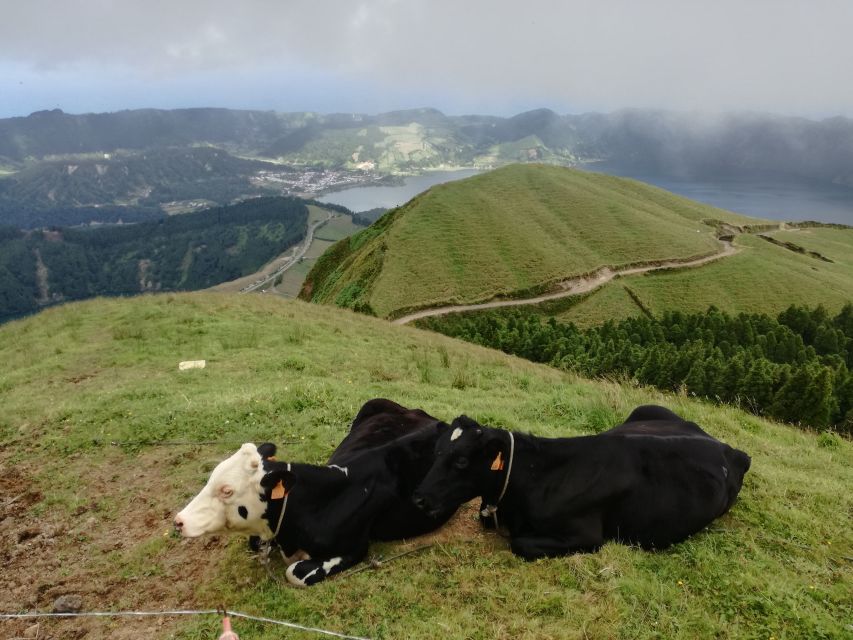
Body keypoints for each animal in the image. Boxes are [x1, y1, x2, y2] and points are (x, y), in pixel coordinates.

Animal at [410, 404, 748, 560]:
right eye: (437, 451)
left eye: (461, 461)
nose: (419, 498)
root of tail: (728, 448)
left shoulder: (586, 536)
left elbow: (520, 543)